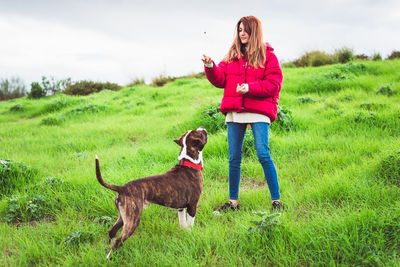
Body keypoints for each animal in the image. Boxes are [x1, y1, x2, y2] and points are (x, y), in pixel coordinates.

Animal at [95, 127, 208, 260]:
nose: (202, 127)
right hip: (133, 220)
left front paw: (185, 236)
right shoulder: (192, 206)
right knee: (119, 241)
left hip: (123, 217)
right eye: (200, 133)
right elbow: (190, 225)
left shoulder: (180, 208)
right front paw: (191, 236)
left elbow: (183, 224)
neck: (188, 162)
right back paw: (110, 258)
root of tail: (122, 188)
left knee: (112, 232)